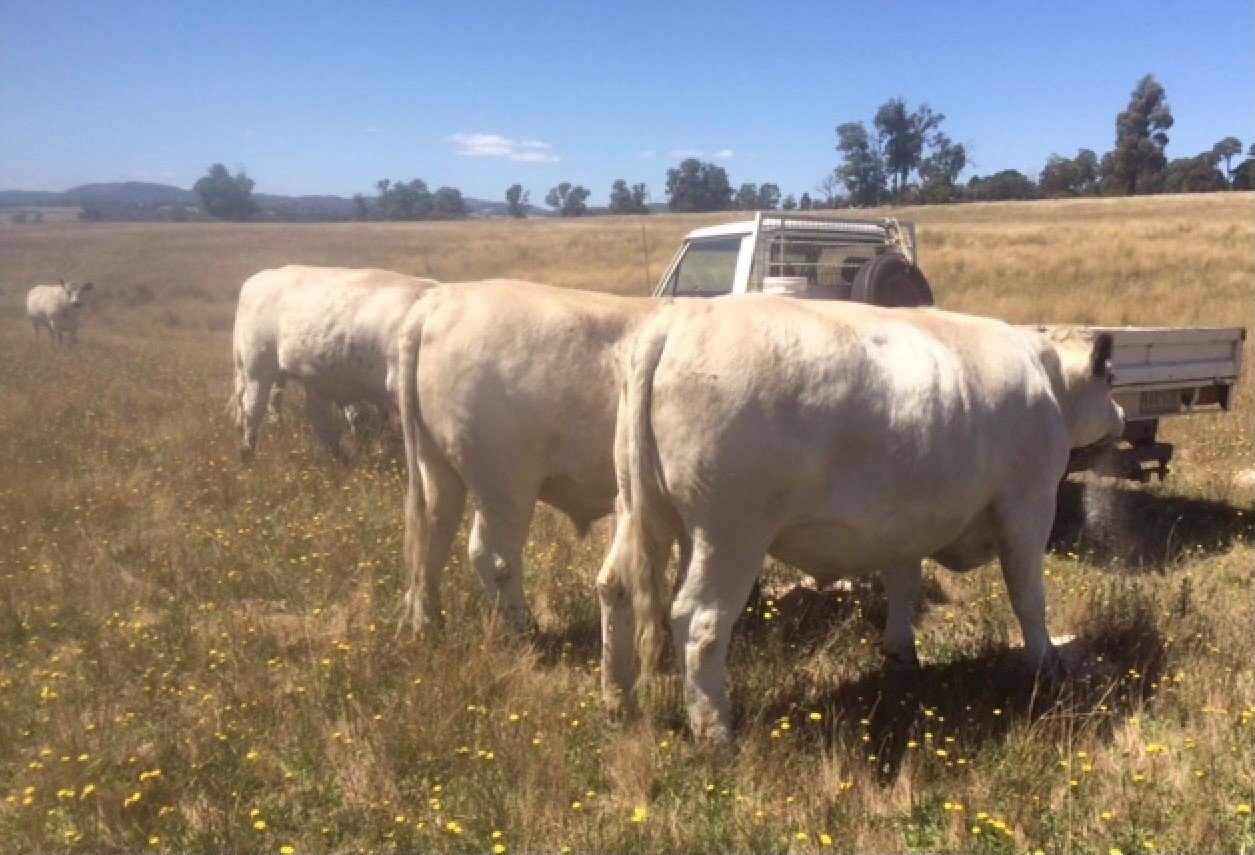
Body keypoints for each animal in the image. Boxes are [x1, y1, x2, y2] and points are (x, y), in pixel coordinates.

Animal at [230, 264, 436, 459]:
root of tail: (258, 278)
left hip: (312, 379)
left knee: (316, 416)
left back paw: (340, 457)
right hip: (258, 371)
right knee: (253, 411)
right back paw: (248, 455)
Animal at [399, 279, 657, 632]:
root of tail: (441, 301)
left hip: (436, 464)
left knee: (433, 533)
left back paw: (428, 624)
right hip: (505, 483)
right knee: (493, 554)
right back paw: (523, 629)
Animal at [597, 296, 1129, 738]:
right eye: (1112, 380)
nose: (1123, 416)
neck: (1045, 378)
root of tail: (678, 320)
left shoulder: (906, 523)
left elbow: (905, 586)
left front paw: (901, 652)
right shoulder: (1029, 507)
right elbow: (1028, 599)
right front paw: (1046, 664)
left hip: (645, 514)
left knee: (615, 588)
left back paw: (617, 701)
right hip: (729, 535)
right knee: (700, 621)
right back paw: (715, 733)